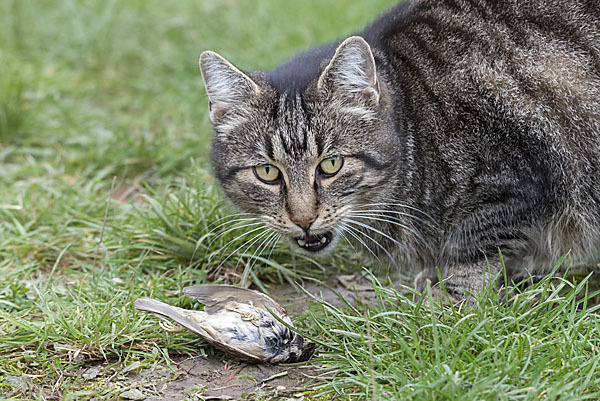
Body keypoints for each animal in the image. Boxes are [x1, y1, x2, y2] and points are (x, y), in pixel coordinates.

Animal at [198, 0, 600, 300]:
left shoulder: (507, 180)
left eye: (331, 165)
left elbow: (471, 258)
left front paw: (446, 310)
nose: (303, 218)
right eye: (267, 172)